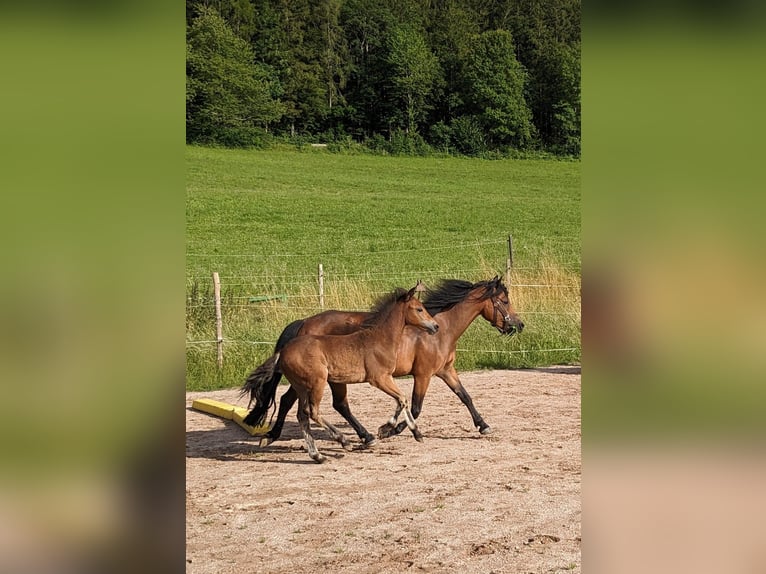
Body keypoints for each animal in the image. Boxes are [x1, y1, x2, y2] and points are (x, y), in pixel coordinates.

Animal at [243, 286, 440, 466]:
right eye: (419, 309)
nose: (435, 326)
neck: (379, 339)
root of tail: (282, 352)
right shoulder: (379, 379)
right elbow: (403, 399)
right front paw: (396, 430)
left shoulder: (386, 378)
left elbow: (402, 400)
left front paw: (410, 432)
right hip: (318, 382)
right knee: (312, 412)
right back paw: (343, 441)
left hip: (302, 386)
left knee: (301, 414)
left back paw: (318, 455)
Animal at [249, 276, 524, 448]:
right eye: (505, 300)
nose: (518, 325)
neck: (440, 328)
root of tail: (303, 323)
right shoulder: (423, 374)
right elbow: (415, 407)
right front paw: (390, 429)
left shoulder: (446, 370)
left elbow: (465, 396)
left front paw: (483, 425)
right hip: (324, 379)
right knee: (331, 404)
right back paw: (364, 436)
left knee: (294, 400)